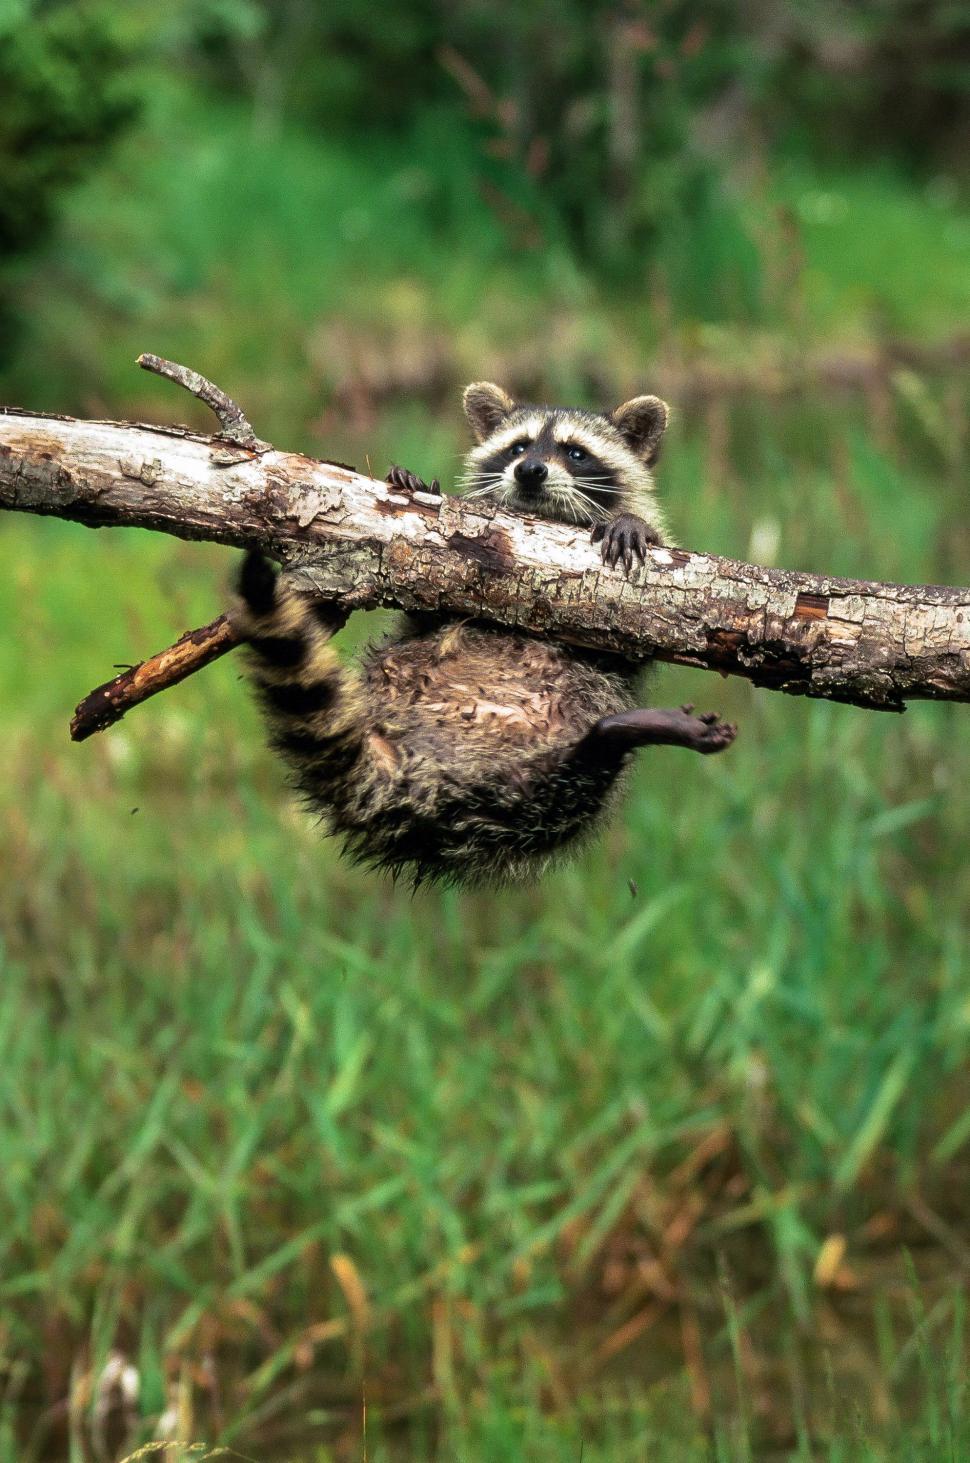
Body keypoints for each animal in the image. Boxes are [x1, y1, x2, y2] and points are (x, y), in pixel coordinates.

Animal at [232, 383, 736, 887]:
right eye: (518, 447)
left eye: (576, 452)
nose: (530, 470)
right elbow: (422, 610)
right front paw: (415, 484)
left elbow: (634, 649)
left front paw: (634, 523)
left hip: (532, 804)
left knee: (574, 788)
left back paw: (615, 734)